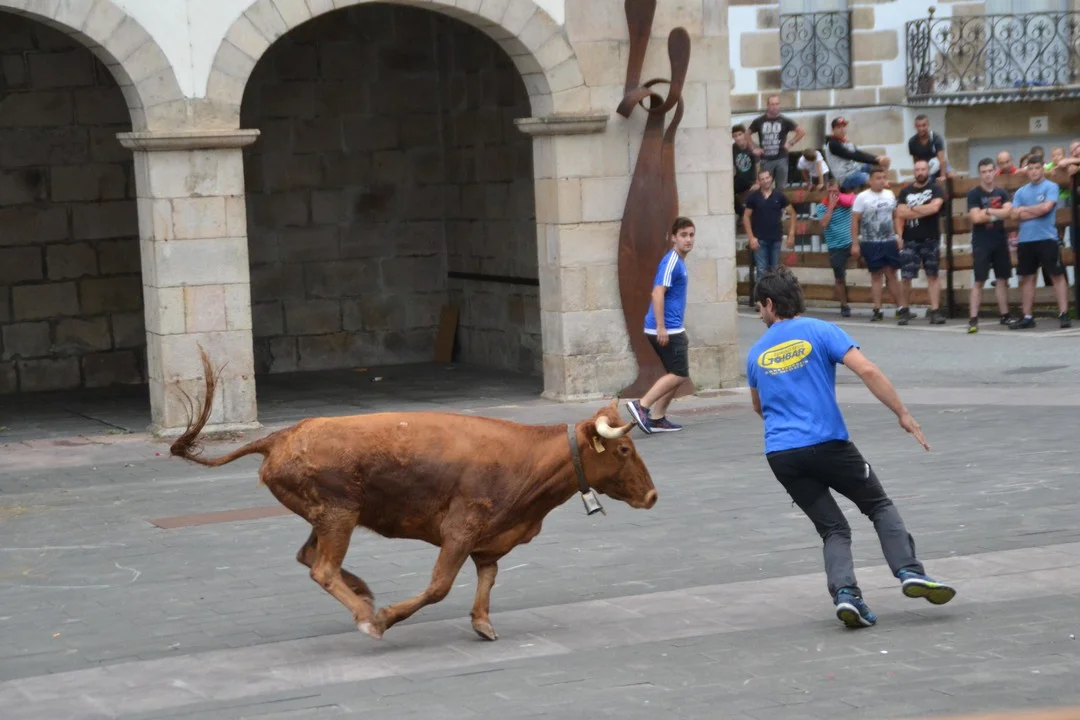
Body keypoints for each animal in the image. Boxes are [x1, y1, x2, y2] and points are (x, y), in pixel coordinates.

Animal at [170, 349, 658, 642]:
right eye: (624, 450)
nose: (652, 495)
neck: (529, 460)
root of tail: (283, 436)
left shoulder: (490, 540)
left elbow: (487, 579)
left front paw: (482, 623)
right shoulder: (461, 531)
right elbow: (439, 587)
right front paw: (386, 617)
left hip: (326, 516)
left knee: (309, 557)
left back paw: (362, 591)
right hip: (339, 513)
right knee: (323, 568)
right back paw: (366, 616)